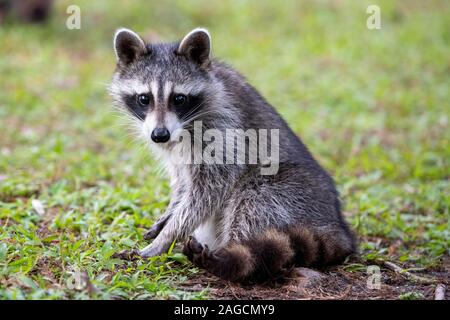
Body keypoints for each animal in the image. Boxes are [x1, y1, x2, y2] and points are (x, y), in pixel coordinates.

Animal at [108, 27, 356, 282]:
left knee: (251, 204)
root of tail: (338, 229)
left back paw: (230, 261)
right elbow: (182, 180)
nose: (159, 135)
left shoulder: (224, 127)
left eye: (178, 98)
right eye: (144, 98)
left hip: (288, 193)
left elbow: (210, 189)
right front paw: (170, 212)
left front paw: (168, 236)